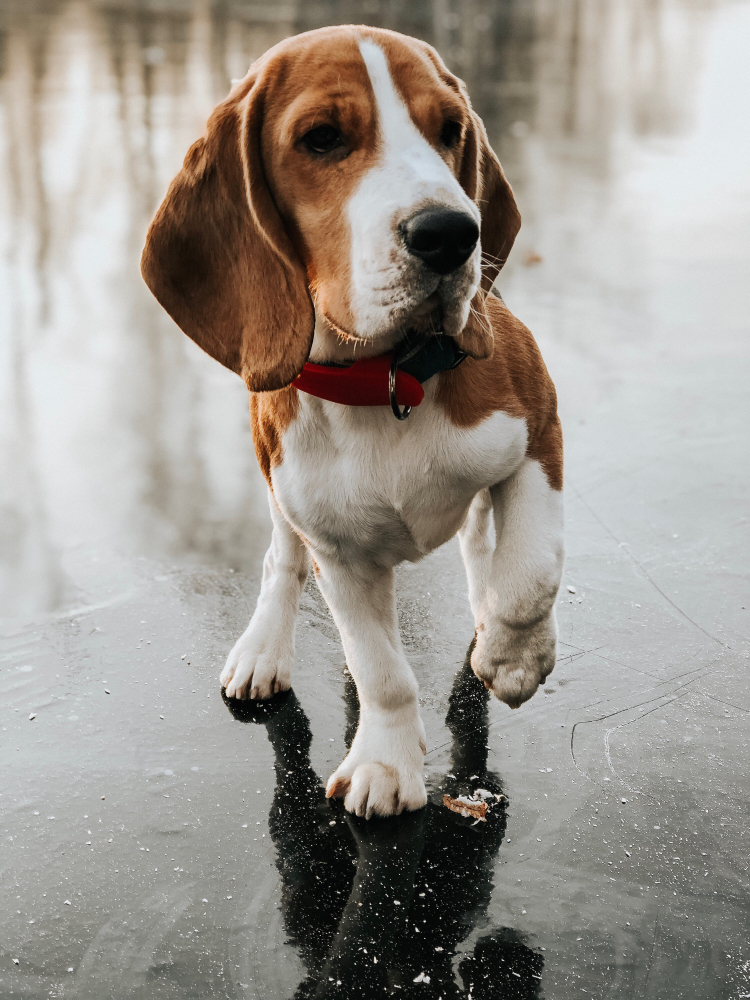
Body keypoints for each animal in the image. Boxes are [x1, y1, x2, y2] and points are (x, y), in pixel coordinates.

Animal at [142, 25, 564, 820]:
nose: (451, 234)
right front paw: (387, 762)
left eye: (449, 131)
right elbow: (381, 669)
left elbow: (529, 574)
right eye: (323, 139)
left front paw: (513, 658)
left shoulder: (539, 431)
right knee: (282, 560)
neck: (386, 380)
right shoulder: (335, 549)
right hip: (278, 484)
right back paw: (263, 649)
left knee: (480, 544)